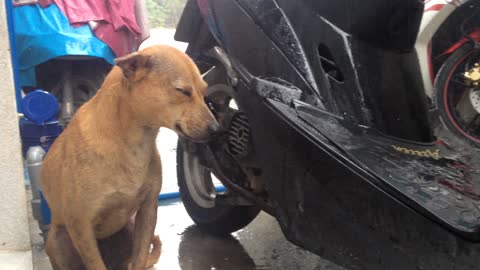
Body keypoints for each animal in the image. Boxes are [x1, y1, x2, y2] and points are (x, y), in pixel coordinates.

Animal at [40, 45, 219, 268]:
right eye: (183, 91)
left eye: (204, 92)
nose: (217, 129)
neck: (131, 142)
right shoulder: (81, 225)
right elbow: (95, 264)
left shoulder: (148, 211)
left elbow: (140, 259)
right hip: (57, 239)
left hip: (130, 228)